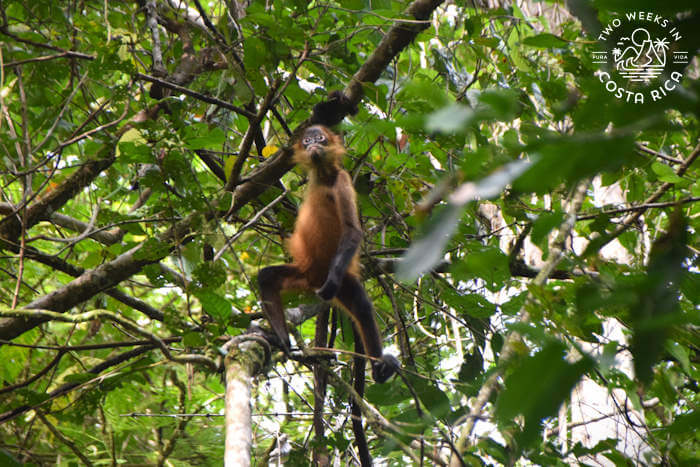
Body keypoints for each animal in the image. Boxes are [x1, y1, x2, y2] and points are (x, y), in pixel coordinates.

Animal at [257, 124, 399, 384]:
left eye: (320, 138)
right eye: (307, 140)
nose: (313, 143)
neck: (324, 178)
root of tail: (314, 278)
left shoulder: (342, 179)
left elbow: (352, 231)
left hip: (343, 281)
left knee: (362, 306)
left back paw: (378, 370)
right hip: (302, 273)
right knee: (267, 278)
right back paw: (283, 342)